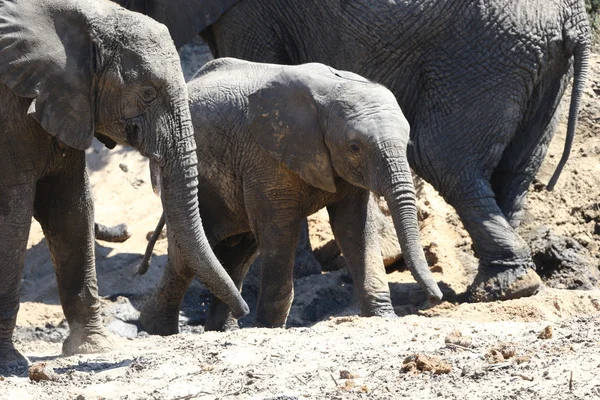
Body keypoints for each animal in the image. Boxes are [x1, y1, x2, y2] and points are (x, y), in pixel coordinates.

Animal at [0, 0, 248, 376]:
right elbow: (13, 215)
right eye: (147, 94)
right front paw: (10, 362)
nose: (243, 312)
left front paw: (92, 347)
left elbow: (70, 208)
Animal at [112, 0, 592, 302]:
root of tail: (578, 20)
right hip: (536, 63)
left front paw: (300, 271)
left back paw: (505, 287)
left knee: (443, 158)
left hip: (484, 54)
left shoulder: (249, 15)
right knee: (517, 169)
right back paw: (505, 283)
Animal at [136, 58, 442, 334]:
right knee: (187, 256)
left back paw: (222, 329)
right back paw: (157, 330)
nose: (436, 297)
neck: (333, 90)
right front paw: (268, 328)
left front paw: (382, 317)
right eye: (355, 147)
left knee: (238, 254)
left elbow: (354, 227)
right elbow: (279, 231)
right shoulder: (266, 156)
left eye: (407, 143)